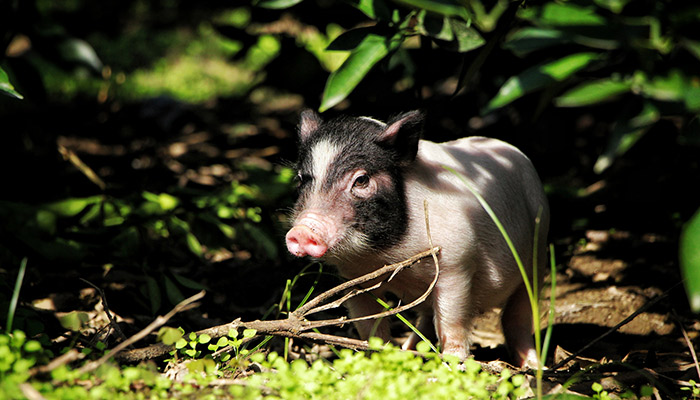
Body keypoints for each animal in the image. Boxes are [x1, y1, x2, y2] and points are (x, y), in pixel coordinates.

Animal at [284, 108, 548, 366]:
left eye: (361, 180)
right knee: (427, 317)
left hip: (538, 254)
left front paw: (454, 362)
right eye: (300, 179)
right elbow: (369, 326)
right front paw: (378, 360)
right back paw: (409, 349)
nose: (302, 231)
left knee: (518, 317)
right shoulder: (354, 278)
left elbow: (452, 322)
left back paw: (534, 366)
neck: (385, 255)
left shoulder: (456, 263)